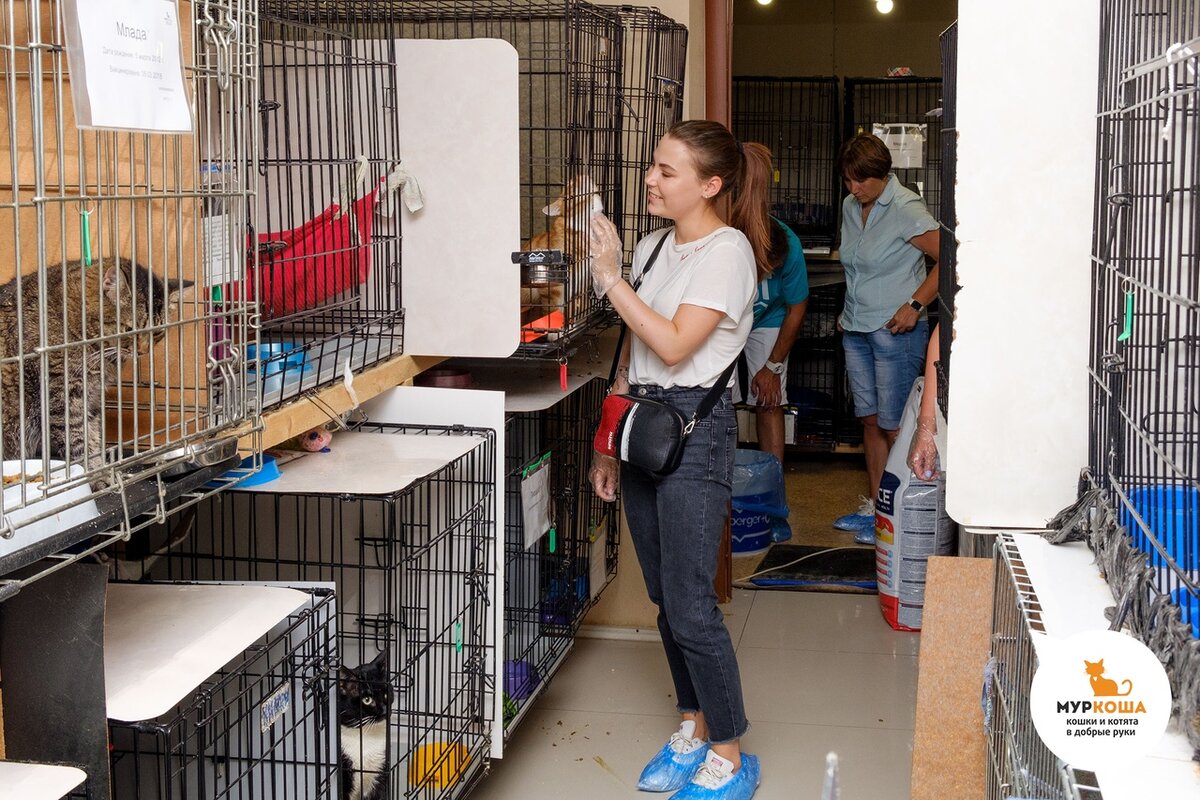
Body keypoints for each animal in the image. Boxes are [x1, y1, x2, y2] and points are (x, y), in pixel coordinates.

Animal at [0, 260, 190, 479]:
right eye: (129, 329)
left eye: (157, 332)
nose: (143, 351)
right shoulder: (63, 399)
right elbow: (78, 443)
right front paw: (97, 478)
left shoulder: (91, 399)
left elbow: (92, 439)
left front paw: (102, 470)